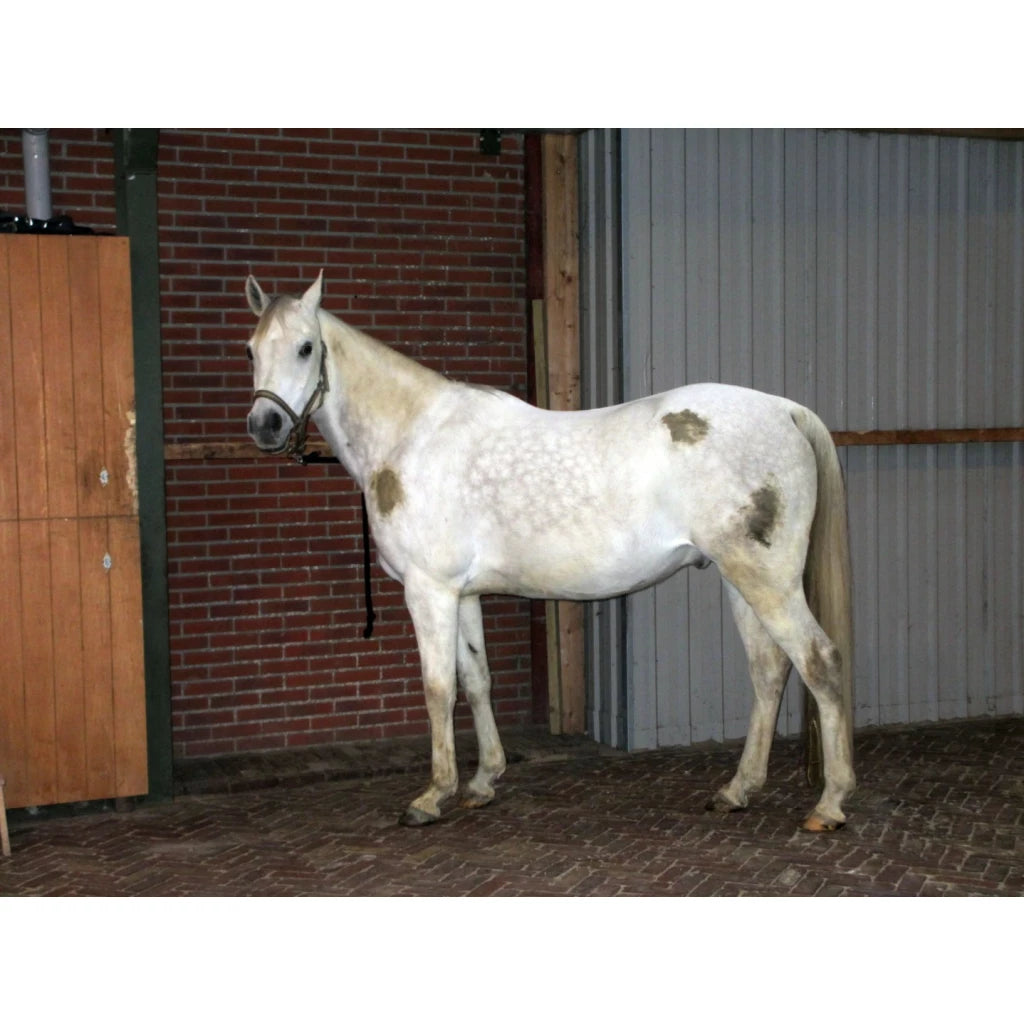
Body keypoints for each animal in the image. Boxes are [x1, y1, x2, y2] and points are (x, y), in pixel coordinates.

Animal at [244, 272, 856, 833]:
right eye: (250, 348)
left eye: (306, 347)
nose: (264, 425)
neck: (412, 436)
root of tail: (785, 410)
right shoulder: (463, 594)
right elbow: (477, 680)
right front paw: (483, 782)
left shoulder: (429, 591)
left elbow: (438, 689)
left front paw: (432, 795)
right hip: (738, 580)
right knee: (769, 672)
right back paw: (737, 790)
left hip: (766, 581)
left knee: (819, 662)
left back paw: (830, 804)